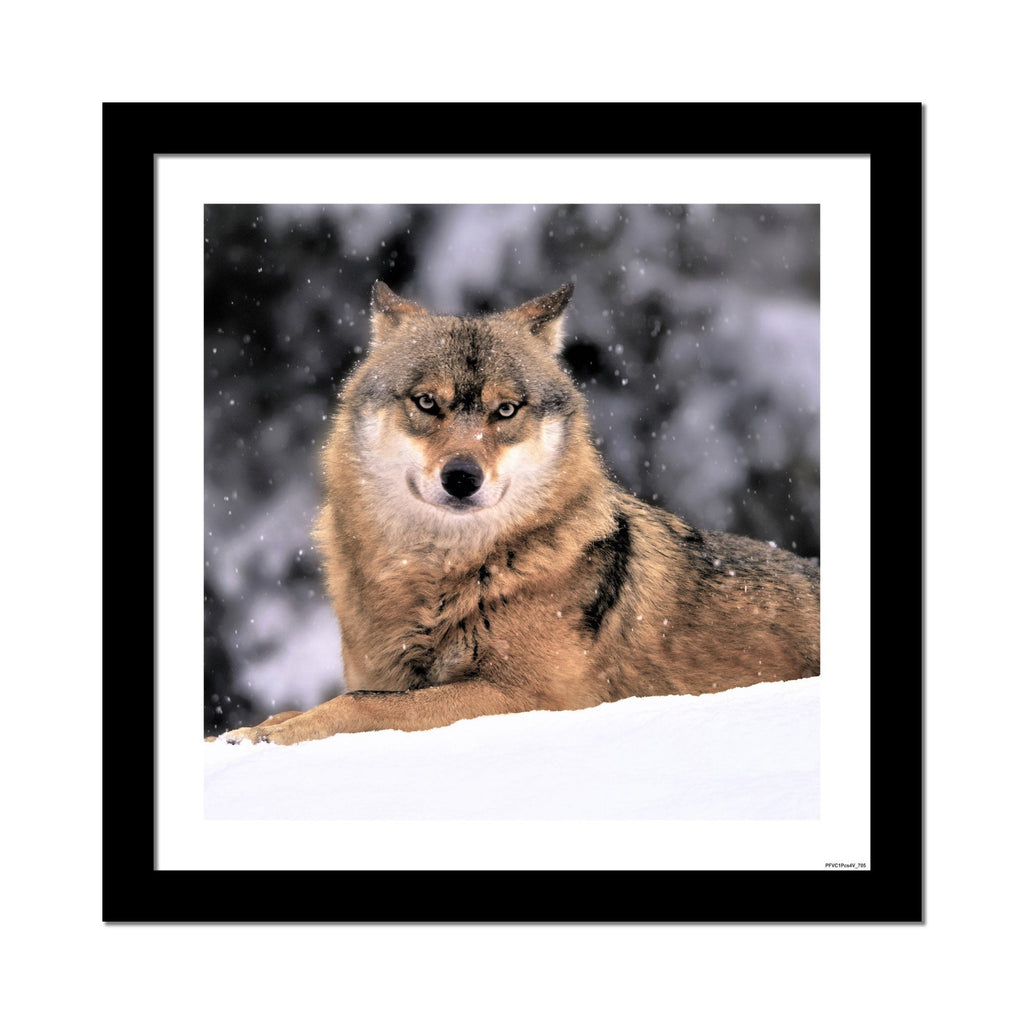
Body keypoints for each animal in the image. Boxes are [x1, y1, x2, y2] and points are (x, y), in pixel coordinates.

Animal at [218, 281, 819, 745]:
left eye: (504, 410)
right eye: (427, 403)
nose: (462, 478)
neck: (438, 579)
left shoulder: (529, 696)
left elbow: (362, 703)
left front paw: (269, 736)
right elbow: (314, 703)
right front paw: (247, 730)